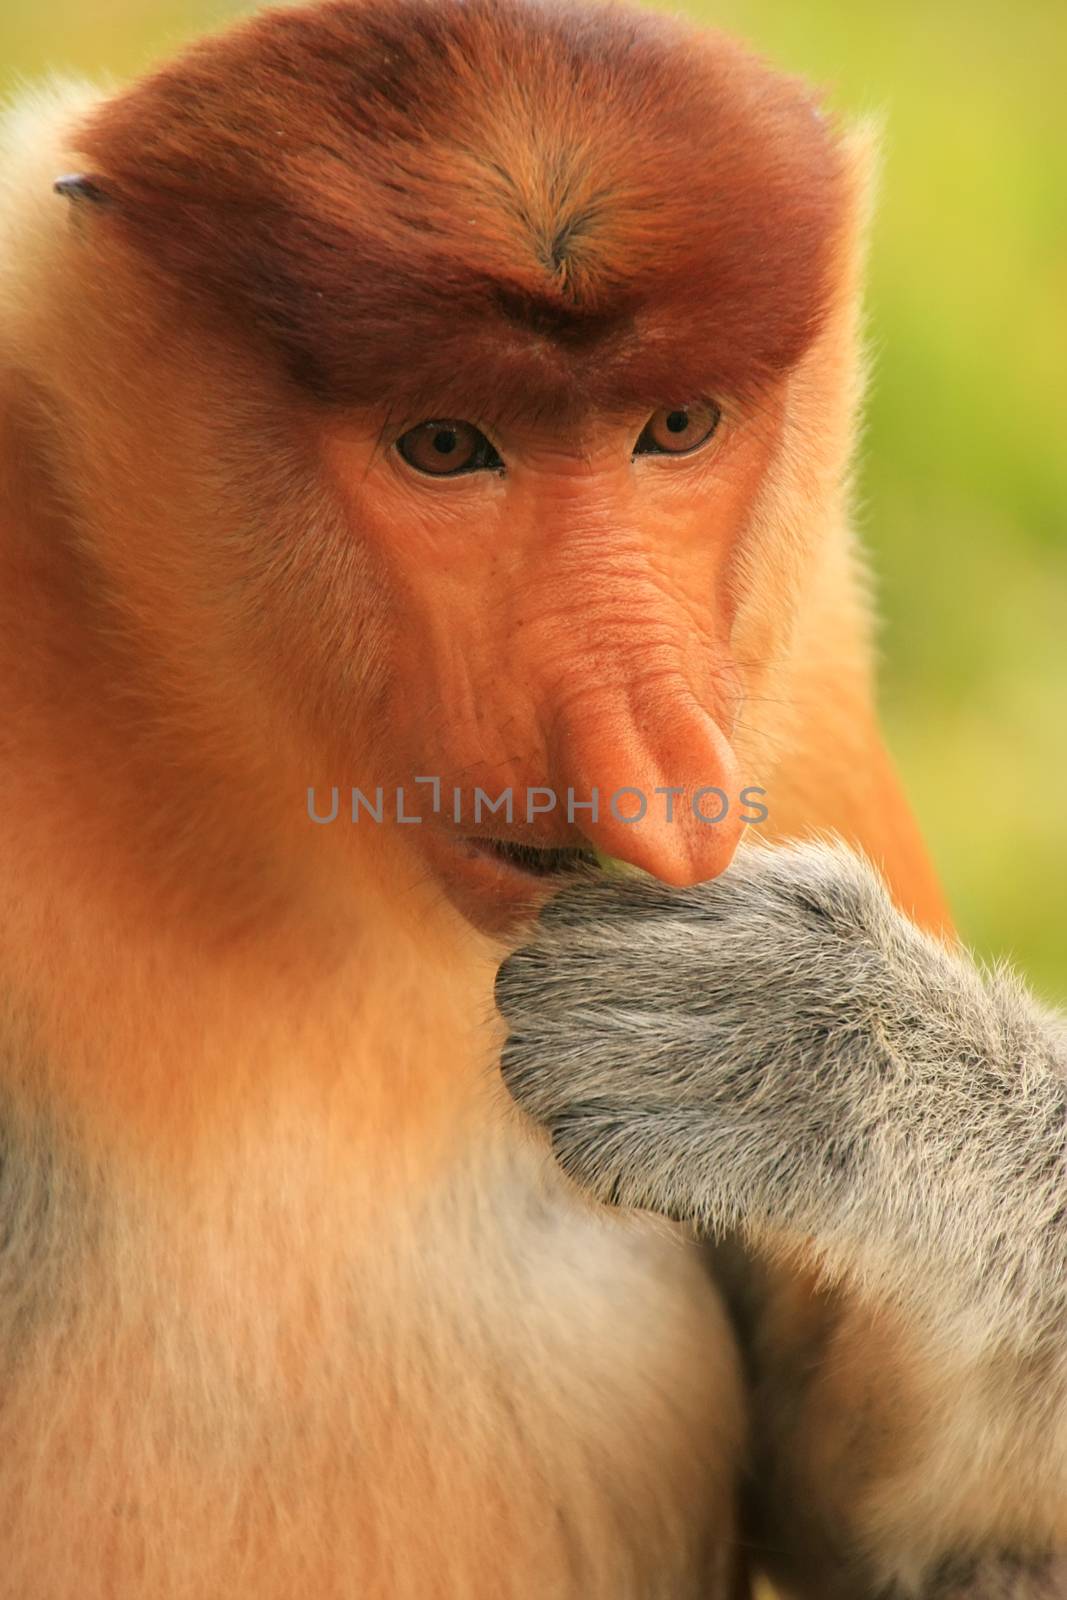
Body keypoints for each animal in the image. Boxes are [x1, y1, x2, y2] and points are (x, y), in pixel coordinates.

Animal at [0, 0, 1062, 1593]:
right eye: (445, 444)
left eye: (675, 425)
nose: (659, 783)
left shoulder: (800, 677)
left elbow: (906, 1528)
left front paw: (802, 1046)